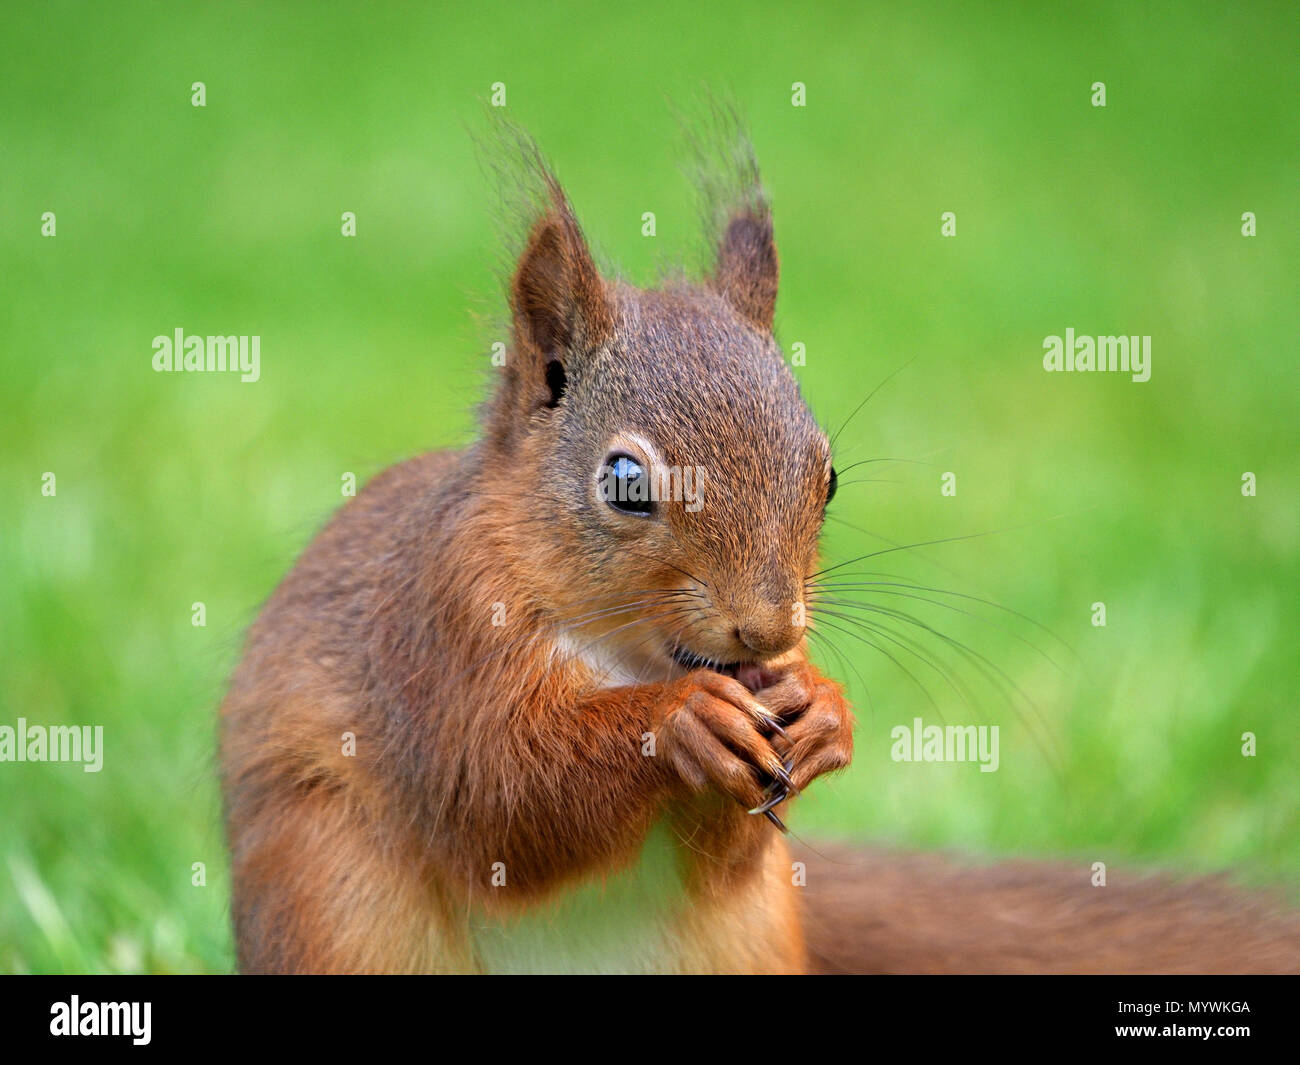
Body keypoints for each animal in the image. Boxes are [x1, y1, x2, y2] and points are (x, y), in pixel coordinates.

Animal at [223, 124, 1300, 972]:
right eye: (624, 482)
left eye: (828, 477)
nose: (768, 628)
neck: (626, 652)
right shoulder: (438, 631)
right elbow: (496, 795)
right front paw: (681, 722)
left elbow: (726, 844)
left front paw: (823, 711)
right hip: (333, 898)